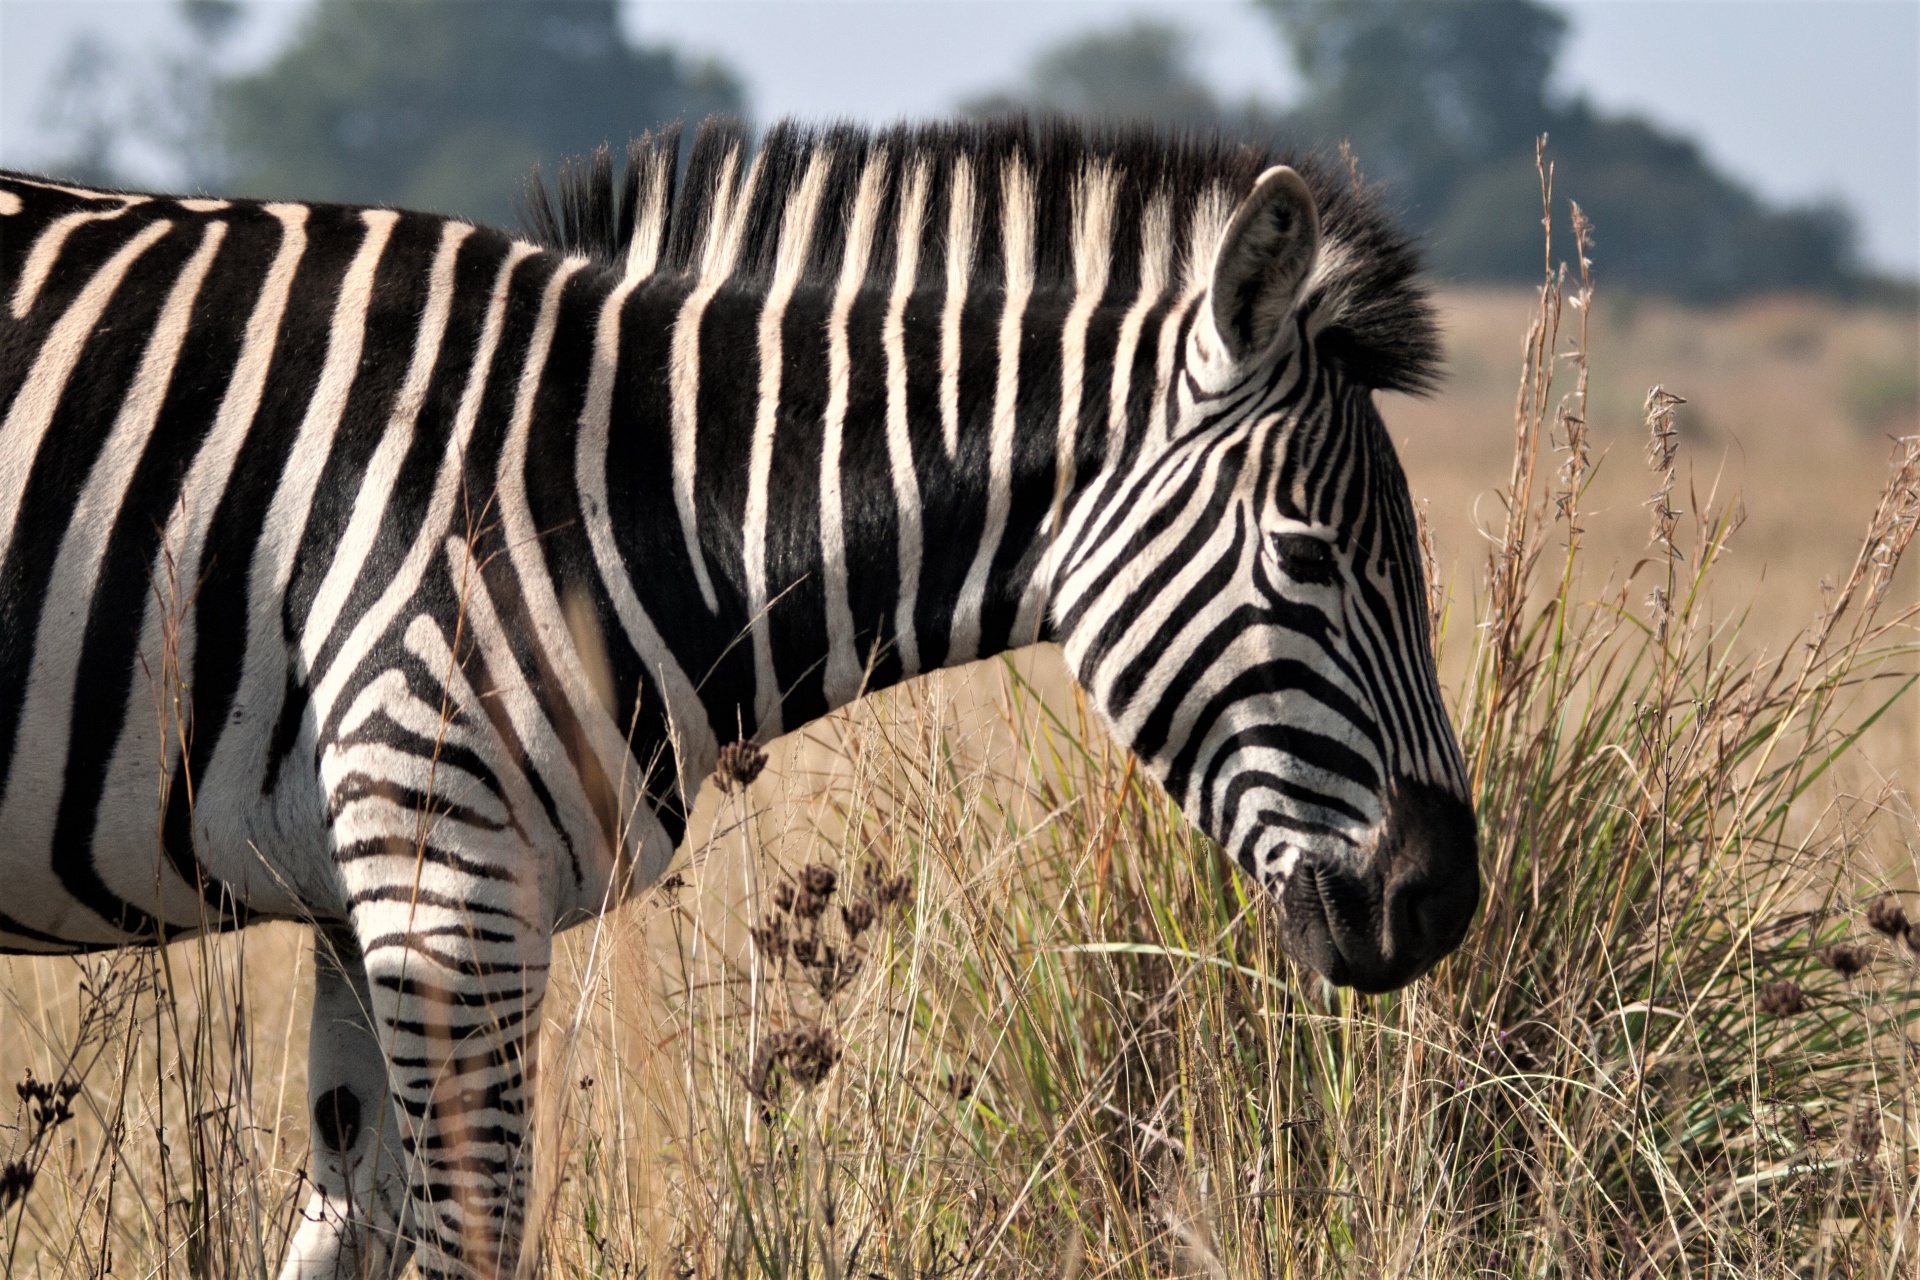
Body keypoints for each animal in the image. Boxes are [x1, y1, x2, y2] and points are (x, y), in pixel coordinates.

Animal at [0, 115, 1474, 1274]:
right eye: (1307, 557)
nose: (1445, 900)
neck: (620, 489)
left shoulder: (362, 893)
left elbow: (347, 1220)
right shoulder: (449, 884)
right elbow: (476, 1231)